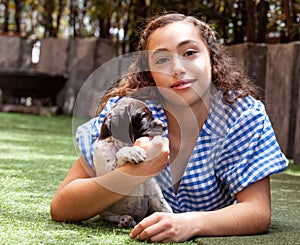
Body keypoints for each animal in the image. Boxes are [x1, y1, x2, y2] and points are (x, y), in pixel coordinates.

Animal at [93, 96, 173, 227]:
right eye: (143, 115)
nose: (164, 126)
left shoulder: (151, 185)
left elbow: (164, 206)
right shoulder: (109, 174)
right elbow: (120, 154)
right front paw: (133, 151)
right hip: (104, 210)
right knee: (107, 216)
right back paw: (124, 219)